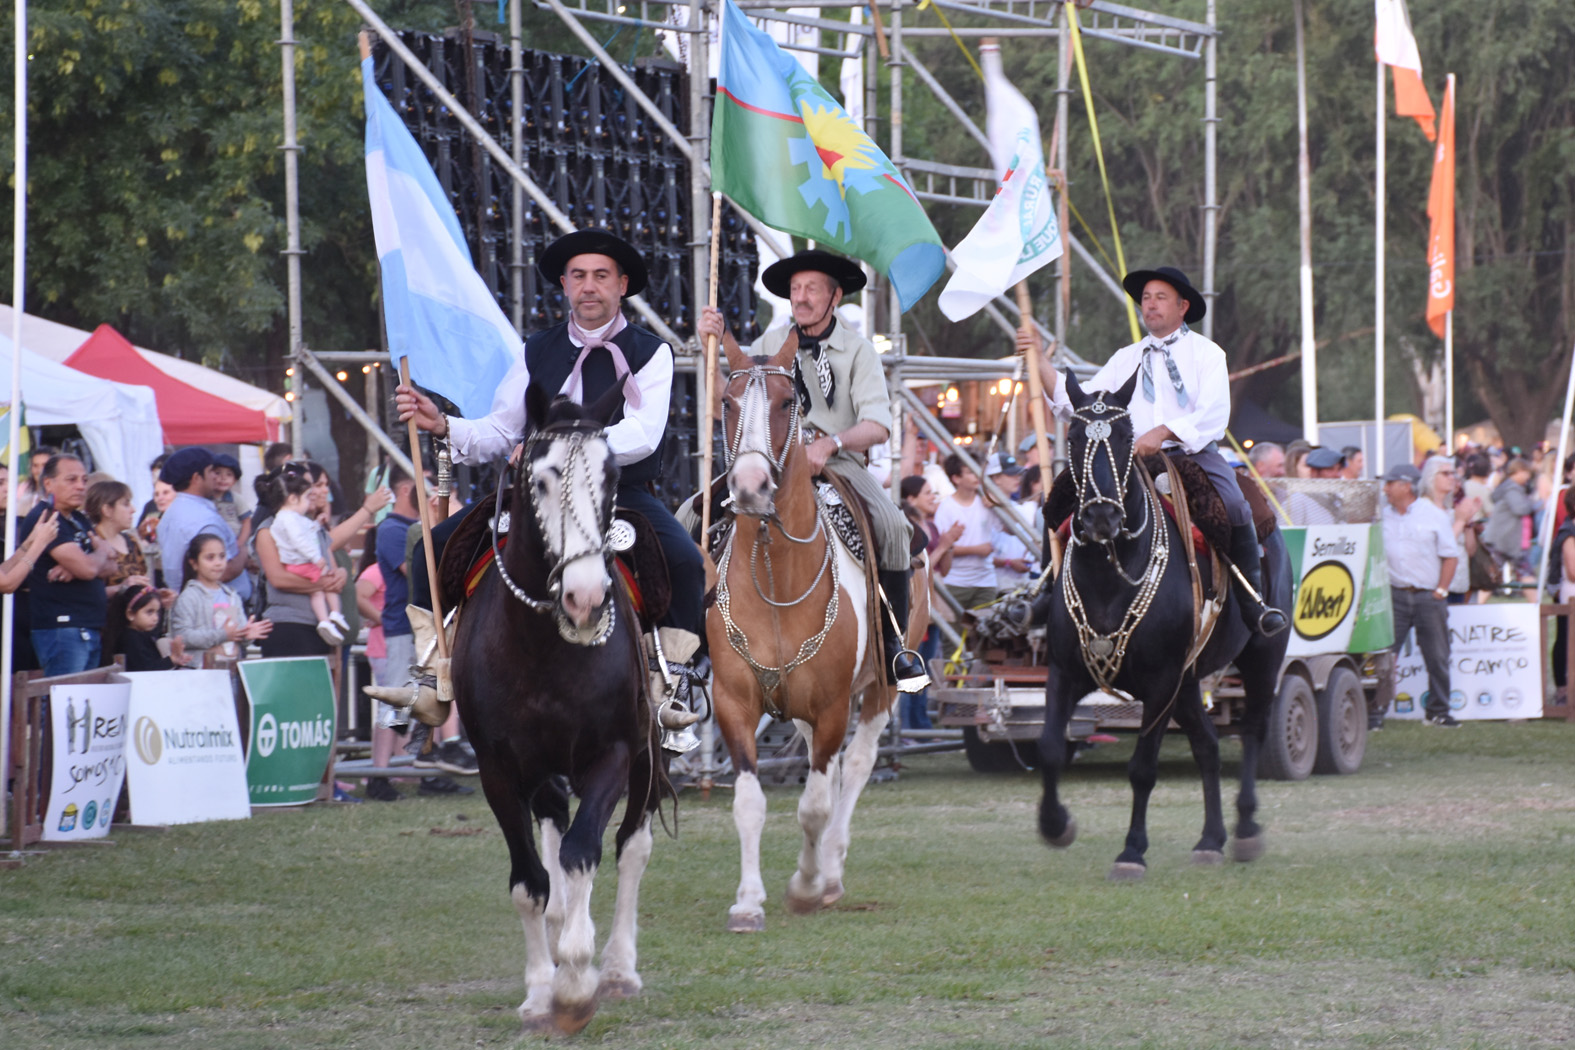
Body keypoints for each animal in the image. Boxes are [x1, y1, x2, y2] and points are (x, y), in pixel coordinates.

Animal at [450, 384, 664, 1032]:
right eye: (539, 480)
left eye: (612, 473)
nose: (586, 598)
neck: (542, 645)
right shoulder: (498, 769)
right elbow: (531, 881)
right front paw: (542, 990)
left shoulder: (611, 754)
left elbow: (582, 853)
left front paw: (575, 983)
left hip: (647, 756)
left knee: (631, 848)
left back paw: (617, 968)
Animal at [711, 332, 919, 931]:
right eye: (727, 403)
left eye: (788, 403)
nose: (751, 487)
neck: (776, 573)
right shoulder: (735, 703)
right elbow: (750, 803)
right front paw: (747, 901)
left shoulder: (831, 708)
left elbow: (815, 804)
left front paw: (806, 886)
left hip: (879, 691)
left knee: (856, 765)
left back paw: (829, 871)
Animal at [1033, 369, 1291, 881]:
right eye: (1073, 438)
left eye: (1126, 437)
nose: (1101, 516)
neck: (1110, 577)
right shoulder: (1066, 672)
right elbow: (1050, 748)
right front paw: (1055, 825)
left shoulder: (1159, 684)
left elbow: (1142, 769)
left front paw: (1131, 852)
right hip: (1189, 683)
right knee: (1208, 746)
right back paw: (1211, 840)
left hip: (1261, 659)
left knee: (1252, 730)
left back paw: (1245, 830)